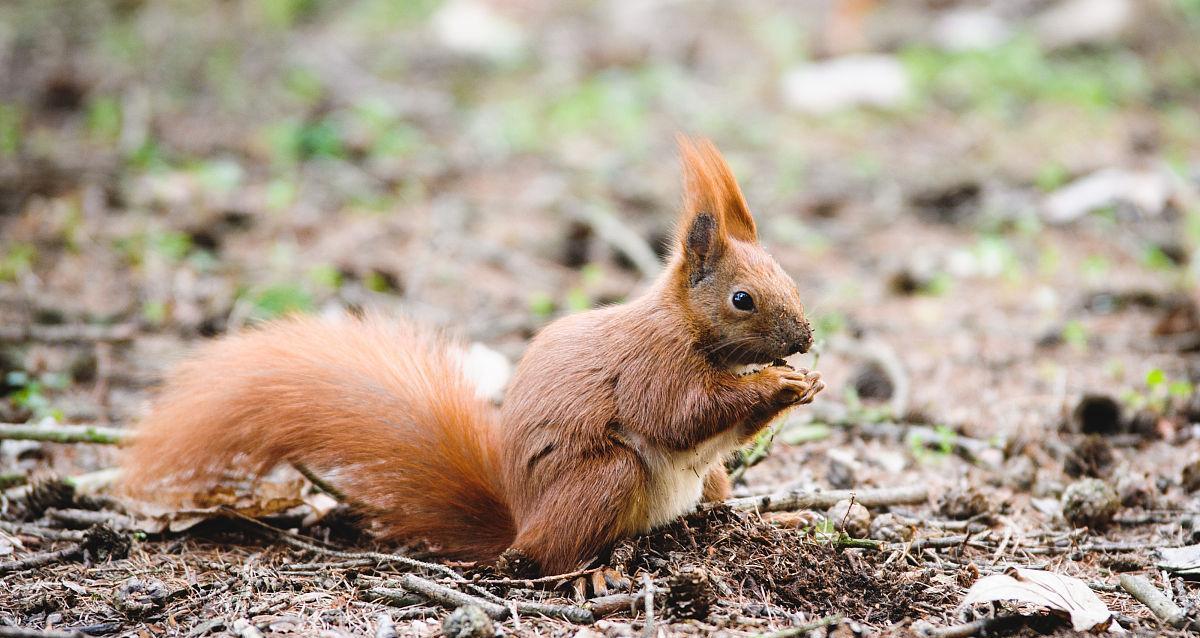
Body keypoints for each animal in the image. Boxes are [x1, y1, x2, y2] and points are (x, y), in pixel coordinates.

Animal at [121, 137, 825, 575]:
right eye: (741, 299)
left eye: (790, 278)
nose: (805, 338)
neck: (686, 325)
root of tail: (521, 526)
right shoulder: (654, 366)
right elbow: (681, 413)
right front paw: (781, 385)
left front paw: (803, 381)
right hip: (604, 478)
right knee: (548, 558)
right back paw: (589, 574)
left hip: (706, 481)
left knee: (710, 490)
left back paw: (754, 524)